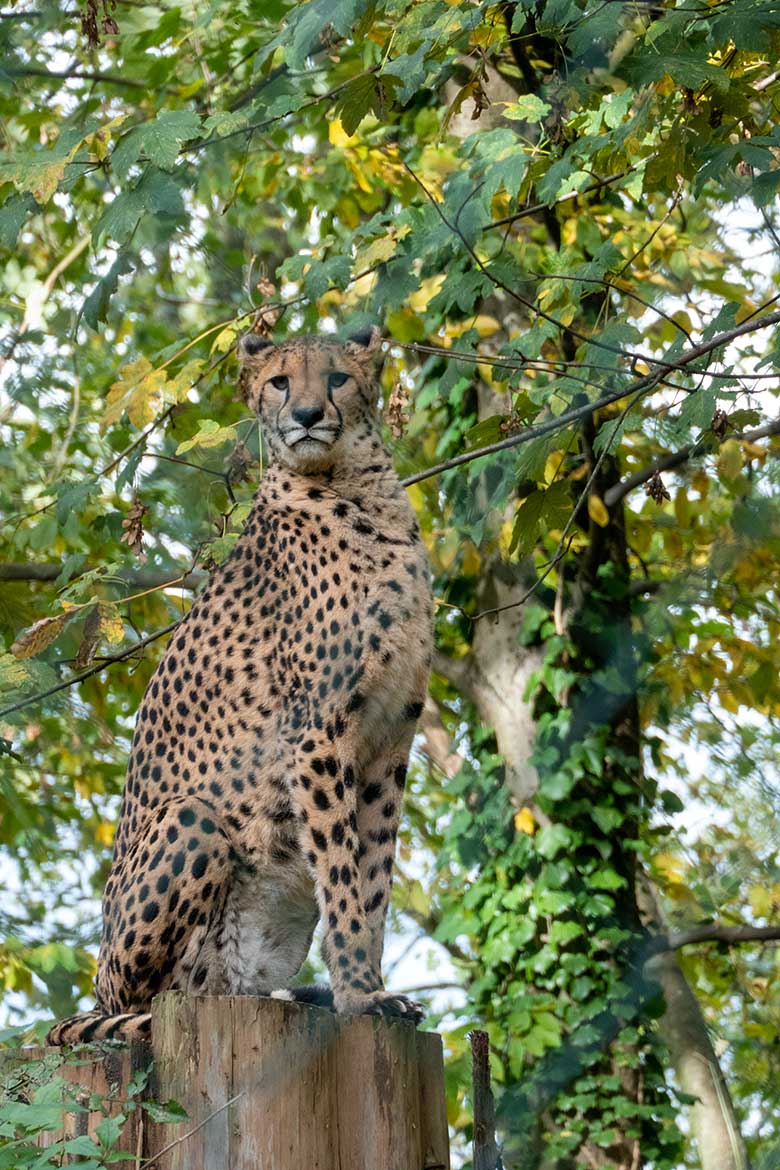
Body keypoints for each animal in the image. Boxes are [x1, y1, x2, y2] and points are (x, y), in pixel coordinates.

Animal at [48, 327, 432, 1043]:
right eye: (280, 381)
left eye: (337, 379)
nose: (306, 415)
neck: (356, 487)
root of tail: (95, 988)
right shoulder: (316, 732)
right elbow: (342, 871)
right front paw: (360, 995)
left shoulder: (390, 740)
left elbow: (373, 877)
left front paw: (368, 987)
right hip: (192, 825)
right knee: (149, 1000)